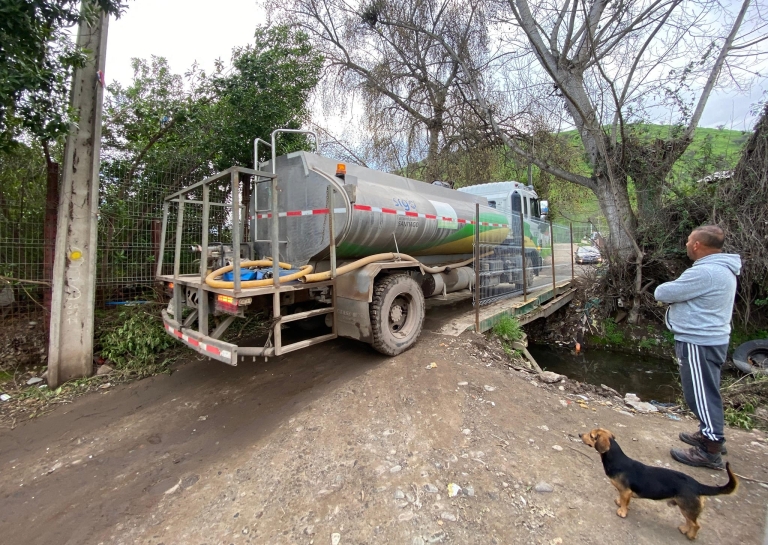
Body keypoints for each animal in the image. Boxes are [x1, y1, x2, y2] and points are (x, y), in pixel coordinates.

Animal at [584, 428, 736, 536]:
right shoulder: (626, 492)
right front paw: (620, 503)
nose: (580, 434)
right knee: (691, 522)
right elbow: (623, 499)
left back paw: (690, 536)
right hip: (686, 508)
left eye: (591, 435)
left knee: (696, 525)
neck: (617, 460)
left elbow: (624, 502)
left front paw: (622, 511)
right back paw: (684, 529)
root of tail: (697, 485)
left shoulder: (626, 491)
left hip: (687, 507)